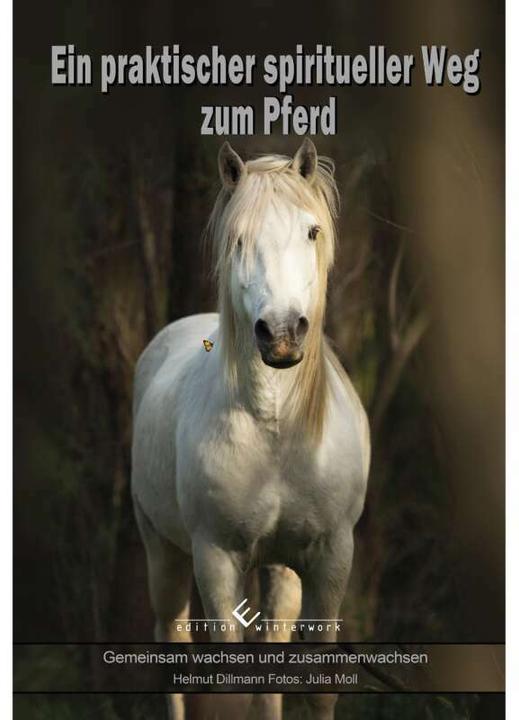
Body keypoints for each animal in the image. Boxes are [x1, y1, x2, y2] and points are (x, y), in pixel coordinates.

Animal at [131, 139, 370, 720]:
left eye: (312, 231)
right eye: (239, 237)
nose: (281, 333)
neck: (277, 432)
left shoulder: (331, 557)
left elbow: (312, 683)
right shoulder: (216, 559)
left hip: (279, 572)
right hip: (162, 552)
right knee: (172, 648)